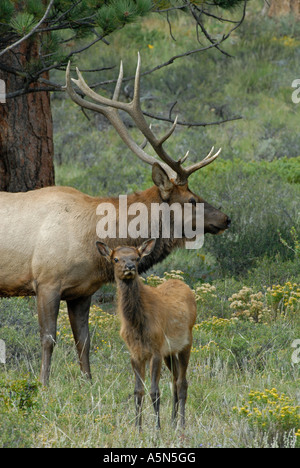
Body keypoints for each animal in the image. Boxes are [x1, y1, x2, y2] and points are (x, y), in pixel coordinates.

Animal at [0, 54, 230, 384]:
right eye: (191, 200)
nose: (225, 218)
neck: (92, 242)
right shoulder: (46, 280)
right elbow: (48, 338)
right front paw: (43, 385)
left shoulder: (82, 292)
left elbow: (84, 341)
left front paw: (88, 383)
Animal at [96, 239, 198, 430]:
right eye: (115, 258)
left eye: (137, 258)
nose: (129, 266)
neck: (137, 324)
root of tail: (185, 286)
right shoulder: (135, 353)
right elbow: (138, 391)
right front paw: (138, 428)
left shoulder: (155, 350)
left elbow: (154, 391)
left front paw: (157, 428)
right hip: (169, 352)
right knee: (175, 381)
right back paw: (172, 422)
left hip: (186, 342)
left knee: (182, 383)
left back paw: (181, 424)